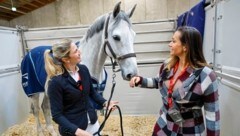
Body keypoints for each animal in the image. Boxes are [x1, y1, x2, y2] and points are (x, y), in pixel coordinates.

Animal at [20, 1, 137, 135]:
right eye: (116, 37)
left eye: (133, 35)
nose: (132, 73)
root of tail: (28, 54)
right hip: (33, 91)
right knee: (36, 110)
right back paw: (40, 132)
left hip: (47, 90)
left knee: (45, 107)